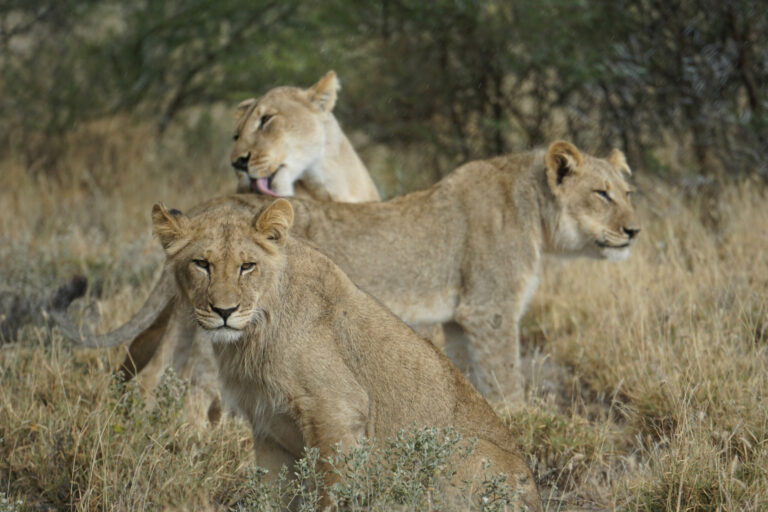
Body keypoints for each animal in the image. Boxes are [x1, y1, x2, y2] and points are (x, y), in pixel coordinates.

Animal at [55, 141, 640, 412]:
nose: (635, 230)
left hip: (184, 318)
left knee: (151, 376)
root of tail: (205, 207)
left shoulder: (460, 320)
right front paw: (523, 425)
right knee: (192, 389)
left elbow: (469, 381)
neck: (536, 211)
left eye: (628, 192)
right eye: (601, 194)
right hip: (214, 326)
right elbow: (508, 383)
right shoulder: (490, 312)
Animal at [152, 198, 540, 510]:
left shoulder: (335, 409)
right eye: (201, 264)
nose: (224, 311)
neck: (252, 336)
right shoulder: (268, 429)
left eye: (247, 266)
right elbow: (274, 495)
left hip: (464, 455)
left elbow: (333, 490)